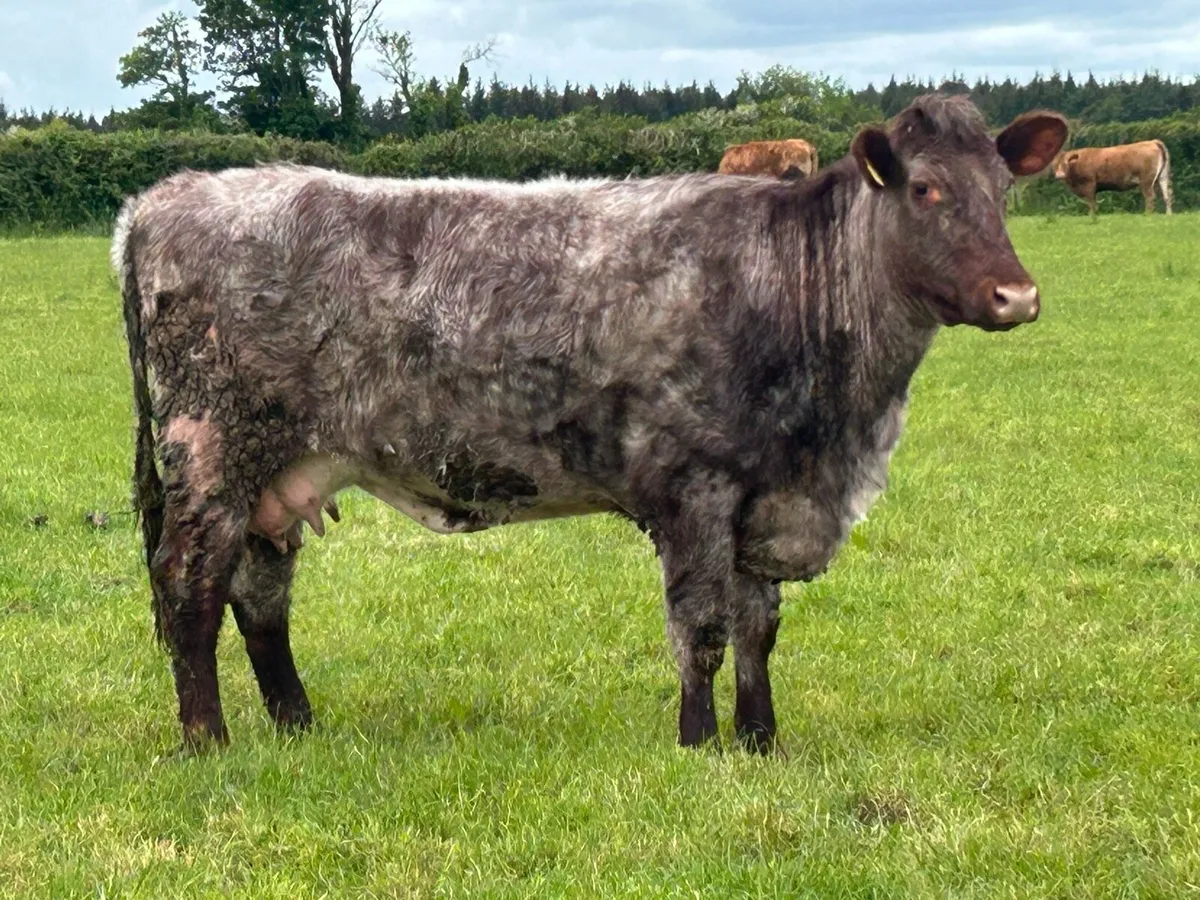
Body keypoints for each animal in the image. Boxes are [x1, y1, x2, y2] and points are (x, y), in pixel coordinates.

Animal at [112, 93, 1067, 755]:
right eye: (926, 188)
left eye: (1004, 189)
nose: (1017, 296)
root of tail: (163, 197)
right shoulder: (693, 485)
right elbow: (703, 629)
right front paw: (699, 745)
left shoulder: (767, 496)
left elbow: (759, 627)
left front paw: (763, 743)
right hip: (211, 449)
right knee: (190, 586)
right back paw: (208, 740)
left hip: (279, 471)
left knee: (259, 595)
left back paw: (297, 725)